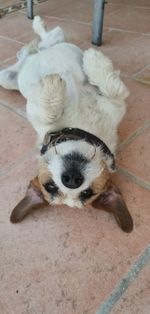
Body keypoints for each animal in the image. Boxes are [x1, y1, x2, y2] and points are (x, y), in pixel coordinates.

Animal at [0, 17, 134, 233]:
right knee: (39, 44)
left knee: (46, 38)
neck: (81, 128)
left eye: (87, 193)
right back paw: (32, 36)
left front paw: (93, 60)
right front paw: (54, 86)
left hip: (42, 51)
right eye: (50, 187)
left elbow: (116, 89)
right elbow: (50, 113)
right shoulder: (36, 112)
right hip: (6, 78)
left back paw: (34, 36)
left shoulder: (116, 105)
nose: (71, 179)